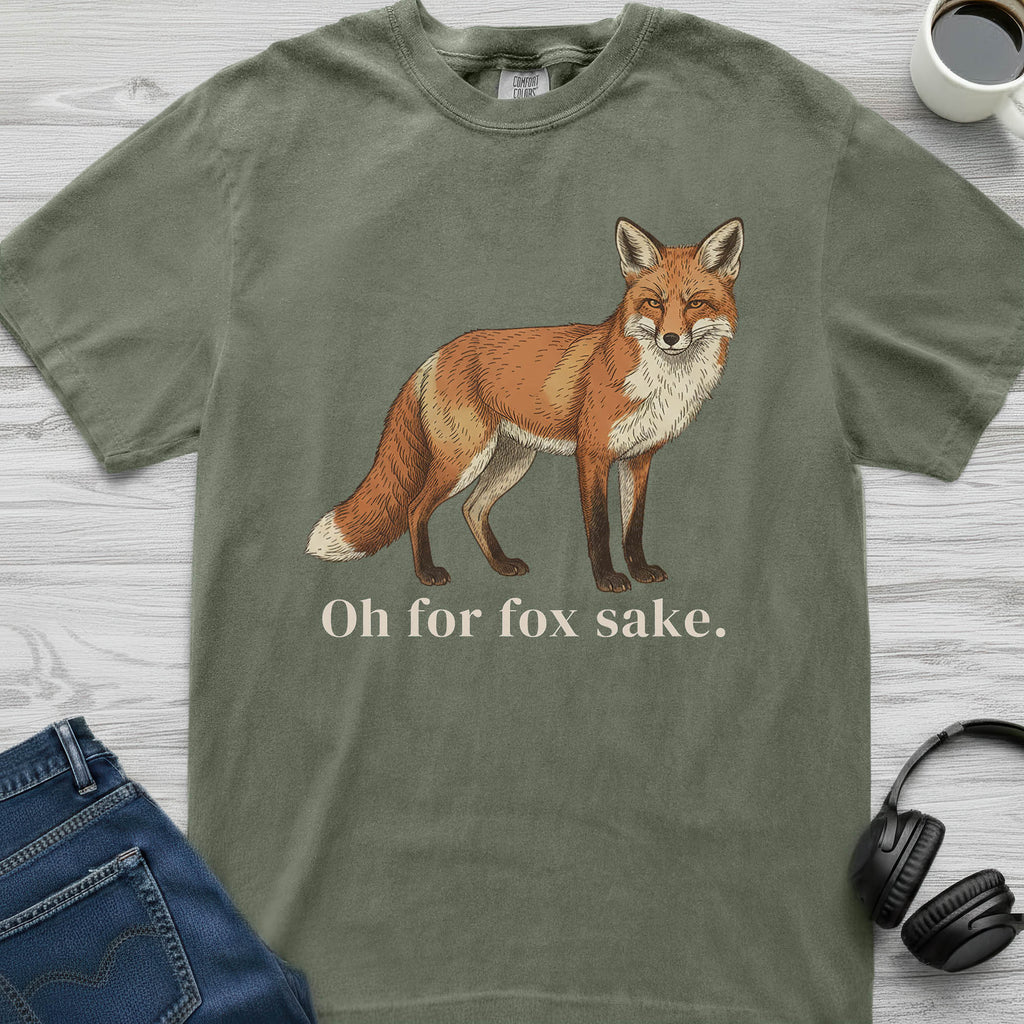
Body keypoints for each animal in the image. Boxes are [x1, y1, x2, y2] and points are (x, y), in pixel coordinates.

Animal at [306, 216, 743, 593]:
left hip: (511, 460)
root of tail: (437, 355)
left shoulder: (638, 458)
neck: (663, 384)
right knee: (417, 508)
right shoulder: (593, 455)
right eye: (655, 303)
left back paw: (501, 565)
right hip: (463, 458)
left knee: (472, 509)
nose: (670, 338)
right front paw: (607, 579)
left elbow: (632, 527)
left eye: (695, 304)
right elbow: (600, 527)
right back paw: (427, 573)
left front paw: (639, 571)